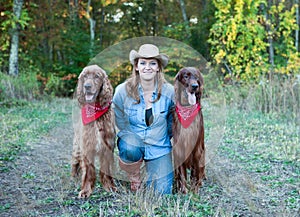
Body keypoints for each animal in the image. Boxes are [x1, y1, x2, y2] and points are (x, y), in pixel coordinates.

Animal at [71, 63, 116, 198]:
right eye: (85, 76)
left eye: (97, 76)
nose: (87, 86)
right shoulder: (86, 147)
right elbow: (88, 171)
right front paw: (86, 190)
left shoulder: (107, 146)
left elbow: (106, 170)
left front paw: (109, 186)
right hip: (76, 148)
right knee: (74, 163)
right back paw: (73, 177)